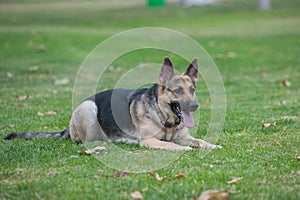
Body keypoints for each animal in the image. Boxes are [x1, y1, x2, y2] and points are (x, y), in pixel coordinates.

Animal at [4, 57, 220, 151]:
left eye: (192, 89)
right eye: (178, 91)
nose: (194, 106)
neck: (165, 117)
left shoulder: (186, 137)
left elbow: (200, 141)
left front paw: (211, 145)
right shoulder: (149, 141)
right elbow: (172, 145)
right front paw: (182, 149)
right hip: (89, 109)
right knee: (89, 141)